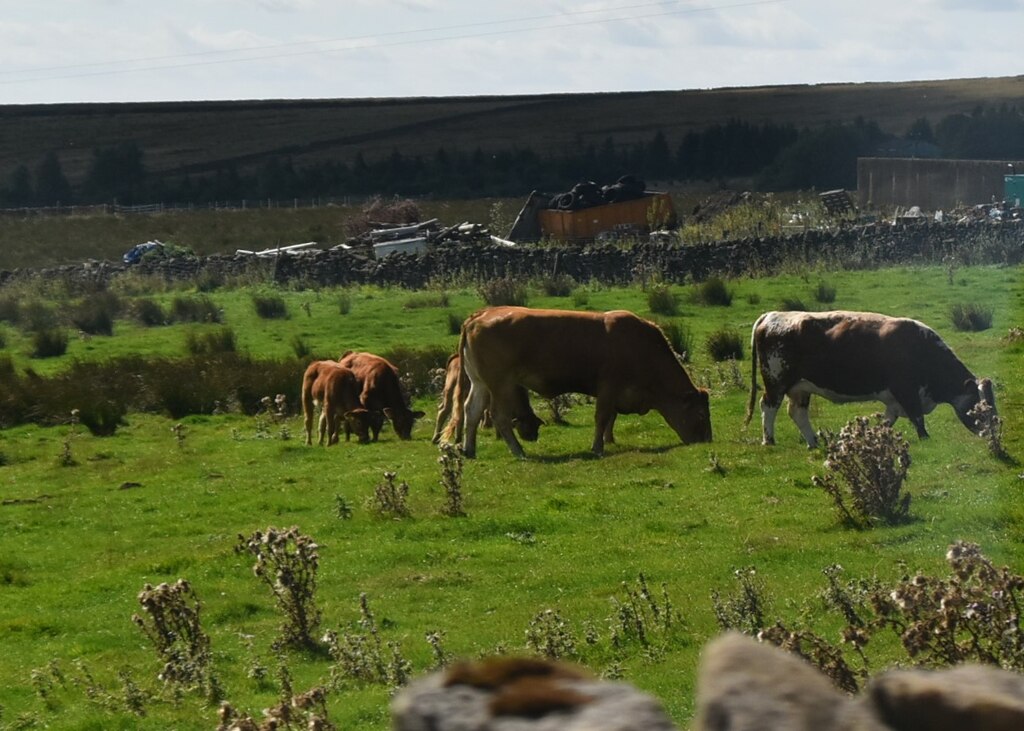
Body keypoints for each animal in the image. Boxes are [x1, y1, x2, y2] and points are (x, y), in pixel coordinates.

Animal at [448, 305, 712, 454]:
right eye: (700, 414)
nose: (706, 441)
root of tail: (479, 315)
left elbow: (610, 418)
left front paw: (609, 440)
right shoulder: (608, 387)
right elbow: (602, 417)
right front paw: (598, 448)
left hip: (480, 383)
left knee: (471, 411)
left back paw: (469, 449)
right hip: (501, 385)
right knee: (499, 417)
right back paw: (517, 450)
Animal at [749, 307, 995, 444]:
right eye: (979, 408)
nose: (992, 435)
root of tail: (771, 315)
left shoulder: (895, 401)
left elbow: (887, 422)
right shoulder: (906, 391)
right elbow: (917, 418)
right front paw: (925, 439)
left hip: (800, 388)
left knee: (797, 413)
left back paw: (813, 442)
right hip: (776, 382)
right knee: (768, 406)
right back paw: (768, 440)